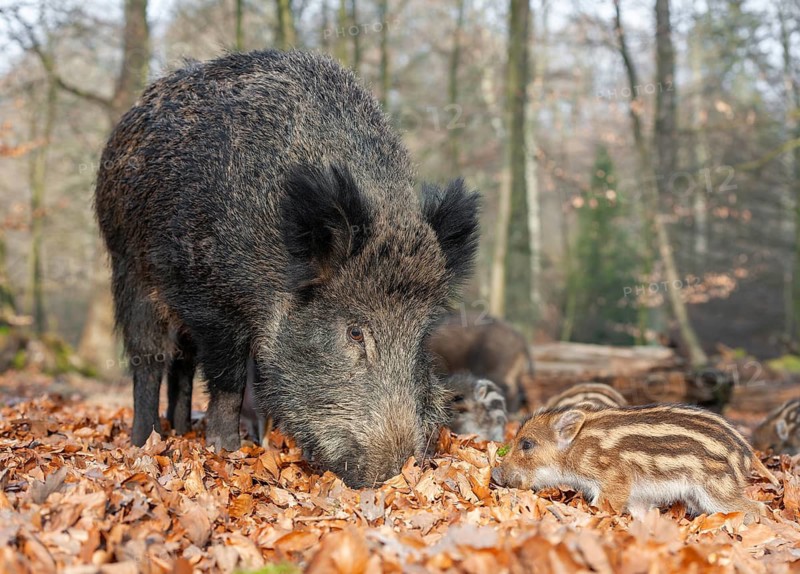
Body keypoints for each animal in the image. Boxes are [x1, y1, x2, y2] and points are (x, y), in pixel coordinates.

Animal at [95, 50, 480, 487]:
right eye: (355, 331)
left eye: (421, 335)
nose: (394, 471)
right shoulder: (209, 303)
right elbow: (227, 381)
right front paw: (225, 449)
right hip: (130, 270)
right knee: (150, 358)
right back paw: (147, 439)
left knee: (182, 365)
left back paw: (180, 430)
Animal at [492, 404, 778, 520]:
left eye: (527, 444)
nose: (496, 473)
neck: (576, 450)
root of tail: (747, 451)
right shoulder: (638, 495)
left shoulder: (615, 480)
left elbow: (602, 506)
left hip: (717, 490)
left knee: (756, 508)